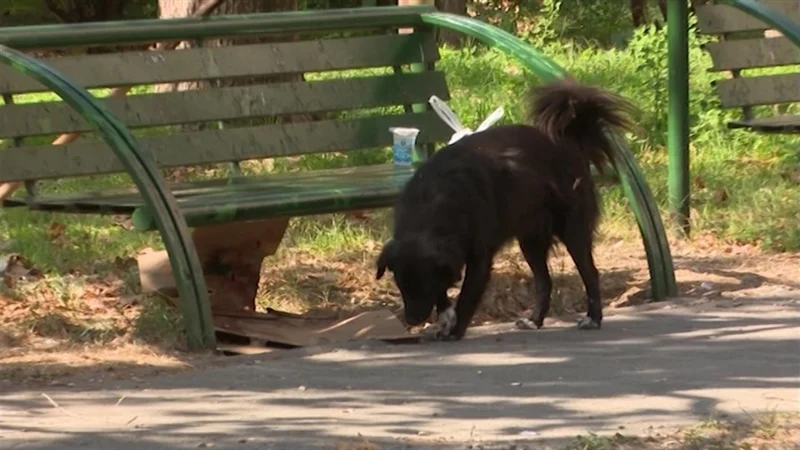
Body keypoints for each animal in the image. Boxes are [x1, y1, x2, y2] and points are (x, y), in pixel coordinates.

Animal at [376, 79, 636, 342]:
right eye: (401, 285)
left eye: (424, 286)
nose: (412, 320)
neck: (433, 203)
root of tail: (569, 139)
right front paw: (446, 315)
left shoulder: (480, 259)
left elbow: (467, 297)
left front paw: (456, 328)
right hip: (531, 240)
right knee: (545, 282)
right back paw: (534, 320)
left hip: (572, 228)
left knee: (590, 273)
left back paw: (593, 318)